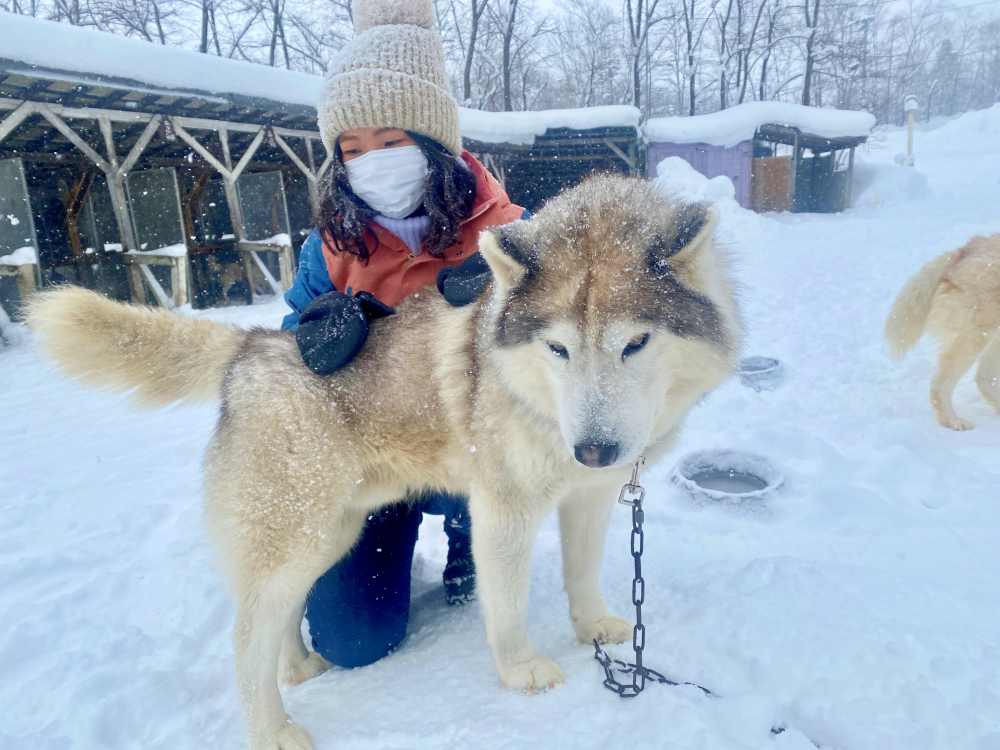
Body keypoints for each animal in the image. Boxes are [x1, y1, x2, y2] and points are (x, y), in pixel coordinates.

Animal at [27, 176, 744, 750]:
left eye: (636, 343)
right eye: (558, 349)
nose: (593, 449)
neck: (531, 393)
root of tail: (252, 346)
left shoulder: (588, 497)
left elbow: (583, 574)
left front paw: (593, 626)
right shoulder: (503, 509)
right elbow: (507, 606)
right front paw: (521, 672)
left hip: (330, 533)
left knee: (282, 618)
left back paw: (297, 669)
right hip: (300, 534)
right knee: (246, 636)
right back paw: (273, 729)